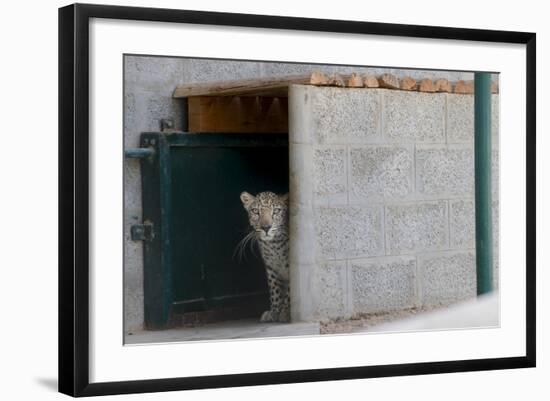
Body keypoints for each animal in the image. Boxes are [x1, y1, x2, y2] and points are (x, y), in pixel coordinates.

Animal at [238, 191, 292, 322]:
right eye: (256, 211)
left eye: (276, 211)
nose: (266, 227)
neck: (274, 245)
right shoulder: (271, 267)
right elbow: (275, 289)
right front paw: (274, 312)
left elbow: (289, 291)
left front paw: (285, 312)